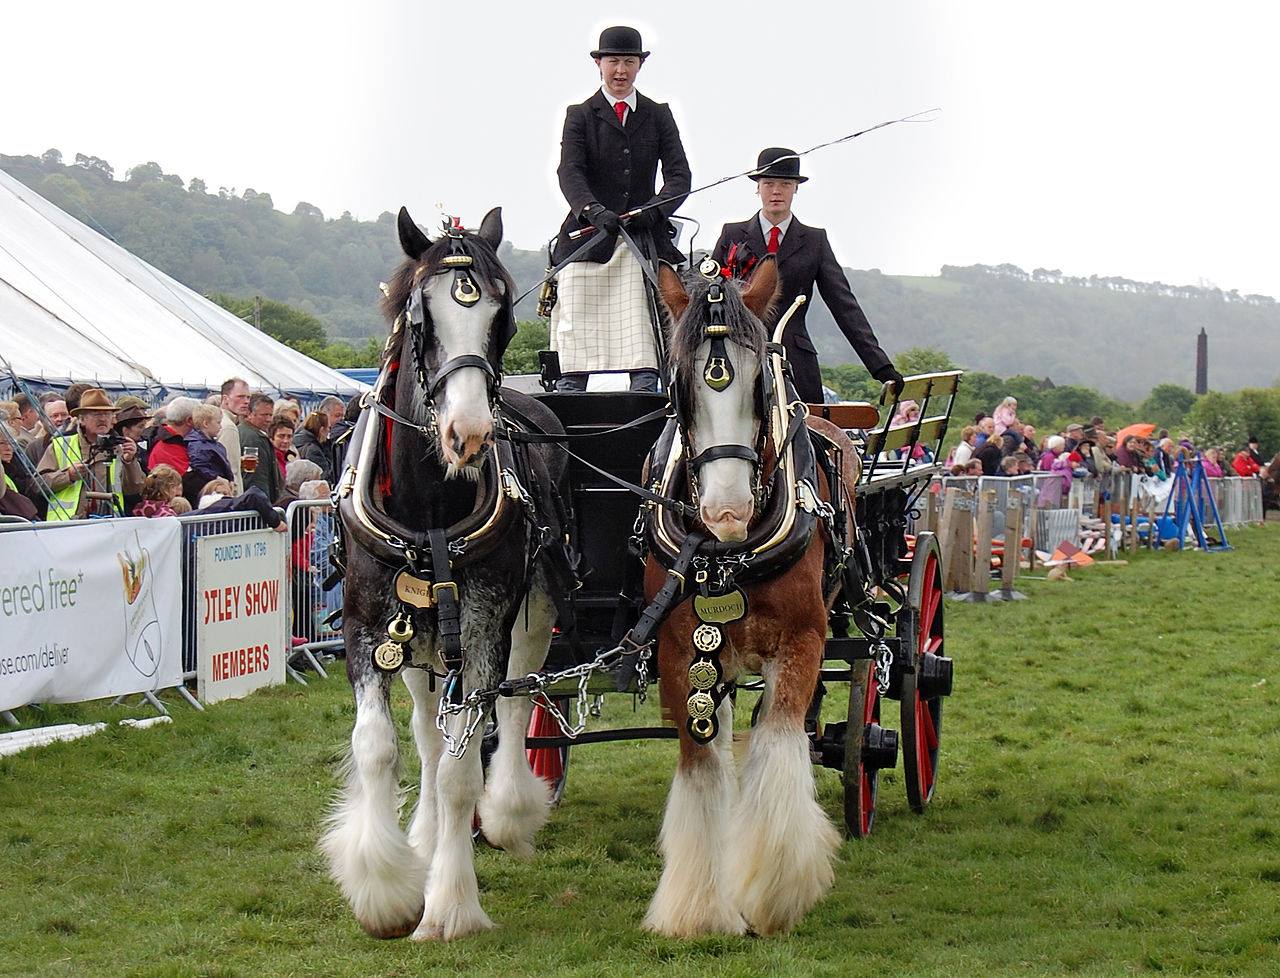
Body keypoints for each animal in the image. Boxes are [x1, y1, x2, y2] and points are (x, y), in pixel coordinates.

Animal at [325, 204, 570, 942]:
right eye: (420, 318)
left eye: (502, 318)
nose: (469, 433)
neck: (429, 502)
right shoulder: (367, 622)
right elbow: (381, 746)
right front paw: (385, 887)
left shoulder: (488, 619)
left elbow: (466, 765)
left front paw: (450, 905)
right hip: (422, 636)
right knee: (427, 734)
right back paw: (427, 837)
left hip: (528, 614)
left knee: (516, 705)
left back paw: (510, 810)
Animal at [640, 259, 860, 942]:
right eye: (679, 388)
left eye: (761, 384)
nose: (727, 512)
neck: (729, 554)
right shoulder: (680, 650)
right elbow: (702, 764)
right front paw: (698, 908)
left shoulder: (802, 641)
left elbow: (779, 743)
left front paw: (775, 889)